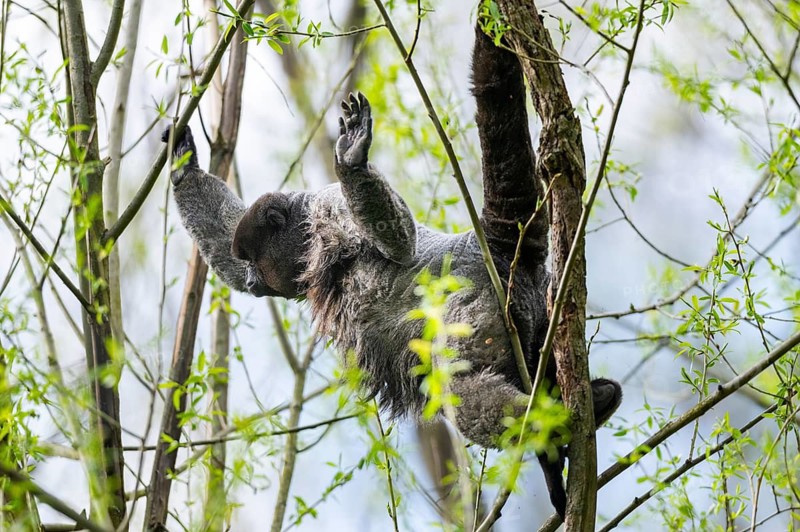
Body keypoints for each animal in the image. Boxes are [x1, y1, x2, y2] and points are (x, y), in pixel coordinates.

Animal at [164, 25, 622, 519]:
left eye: (254, 261)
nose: (252, 278)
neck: (307, 233)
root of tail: (490, 248)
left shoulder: (331, 206)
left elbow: (400, 242)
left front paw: (351, 159)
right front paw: (183, 164)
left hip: (480, 305)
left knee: (458, 384)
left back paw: (547, 424)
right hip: (536, 317)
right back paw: (582, 418)